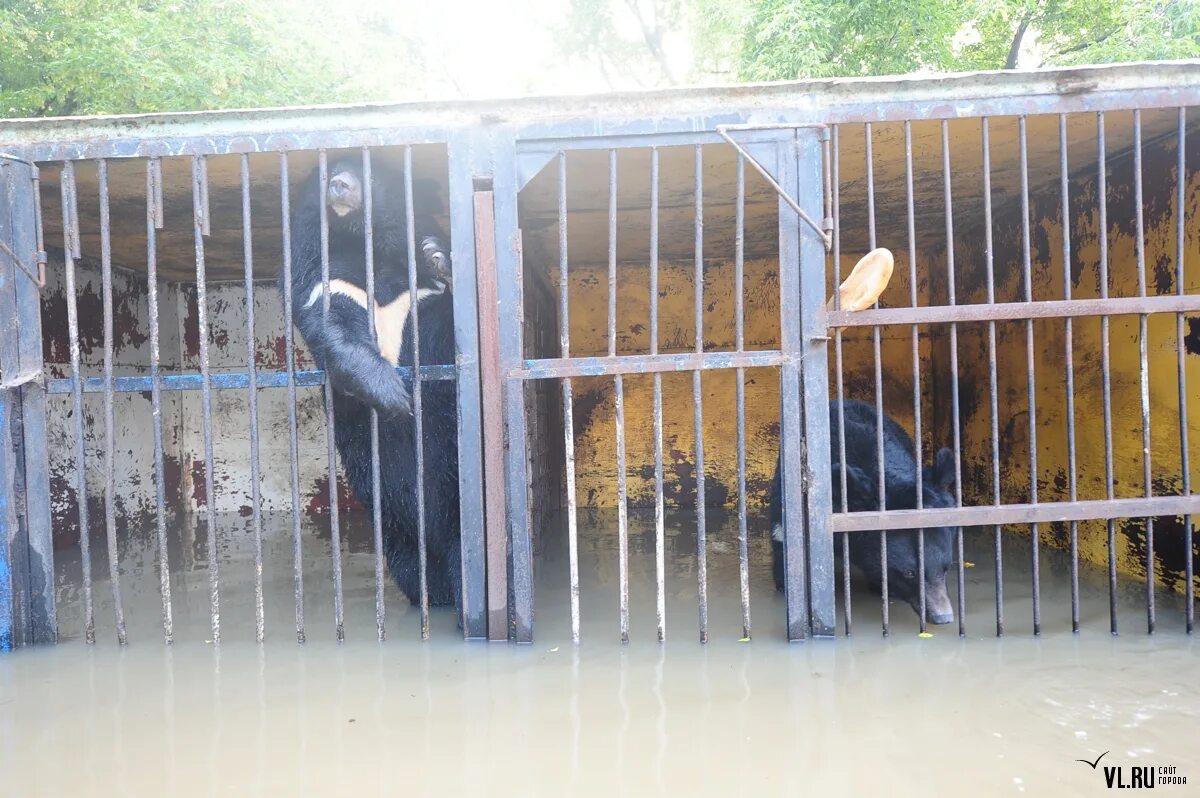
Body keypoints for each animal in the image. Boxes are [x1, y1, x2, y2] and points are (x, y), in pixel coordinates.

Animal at [282, 157, 463, 614]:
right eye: (327, 172)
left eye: (369, 171)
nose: (339, 186)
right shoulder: (325, 278)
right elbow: (334, 326)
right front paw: (394, 397)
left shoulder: (421, 301)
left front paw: (438, 257)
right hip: (393, 527)